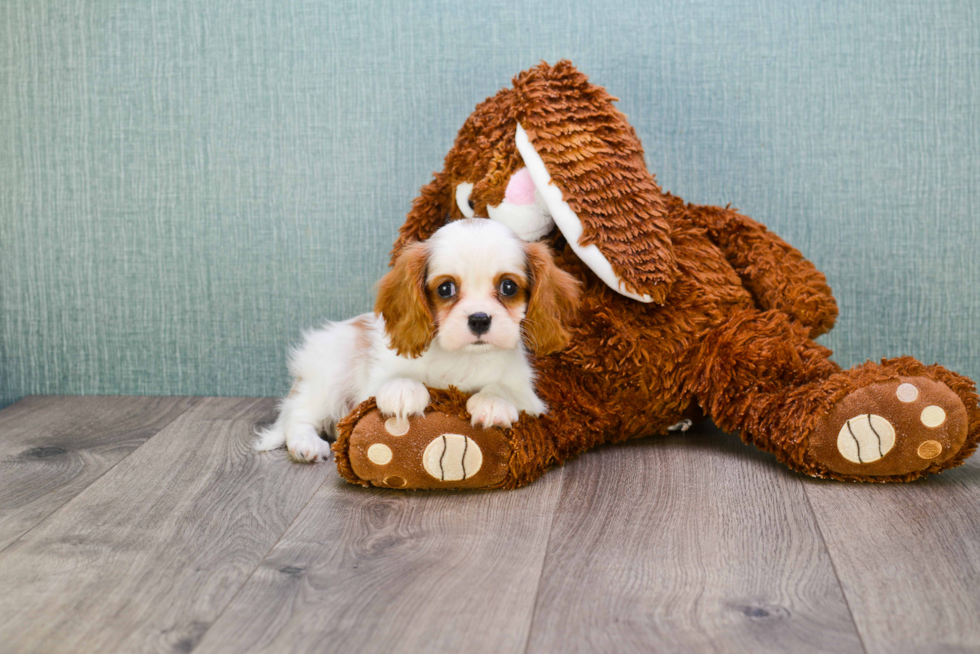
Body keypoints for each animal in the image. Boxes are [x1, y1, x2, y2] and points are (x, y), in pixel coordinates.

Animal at [255, 219, 580, 462]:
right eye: (446, 288)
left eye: (508, 287)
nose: (479, 319)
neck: (463, 357)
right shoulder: (373, 380)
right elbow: (393, 379)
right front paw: (404, 390)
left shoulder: (530, 397)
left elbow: (505, 388)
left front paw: (492, 402)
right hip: (328, 376)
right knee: (298, 415)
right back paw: (306, 445)